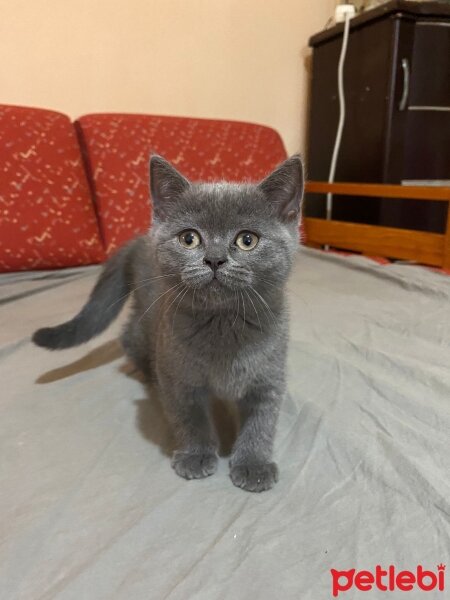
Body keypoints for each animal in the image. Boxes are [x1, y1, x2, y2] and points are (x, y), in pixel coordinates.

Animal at [33, 156, 304, 492]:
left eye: (247, 240)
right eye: (189, 238)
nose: (215, 259)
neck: (223, 326)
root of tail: (139, 240)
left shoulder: (269, 375)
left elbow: (262, 422)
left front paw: (253, 464)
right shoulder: (178, 377)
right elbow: (190, 418)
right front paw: (196, 456)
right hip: (149, 330)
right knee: (130, 337)